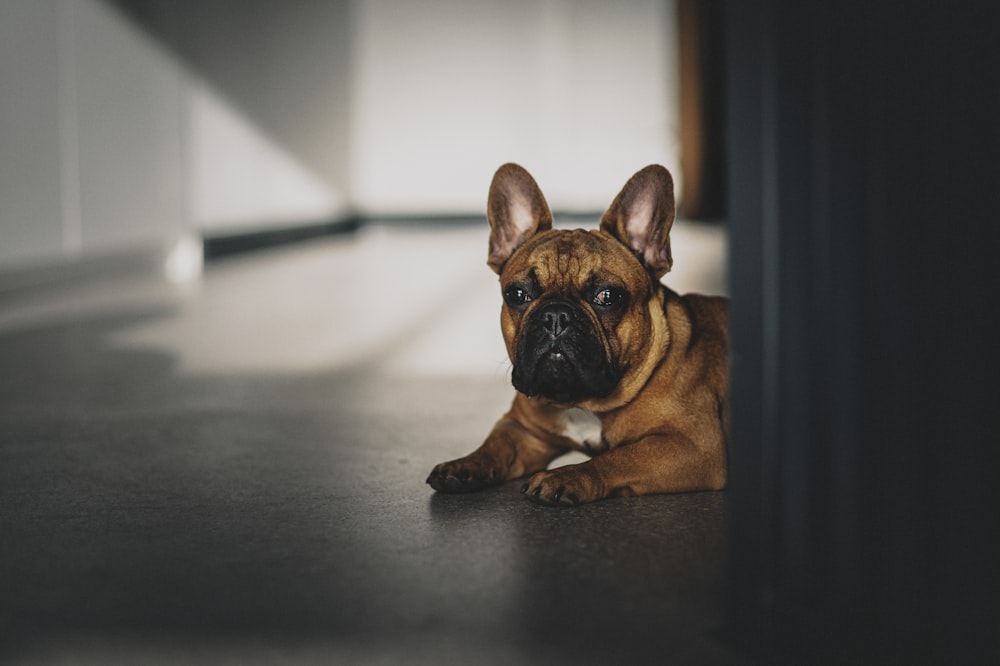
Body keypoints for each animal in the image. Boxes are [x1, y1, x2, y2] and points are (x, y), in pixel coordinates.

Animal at [426, 165, 732, 504]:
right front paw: (465, 464)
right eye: (517, 294)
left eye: (608, 297)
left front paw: (567, 476)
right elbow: (495, 445)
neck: (582, 402)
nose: (556, 316)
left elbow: (618, 458)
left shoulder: (695, 446)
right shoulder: (523, 430)